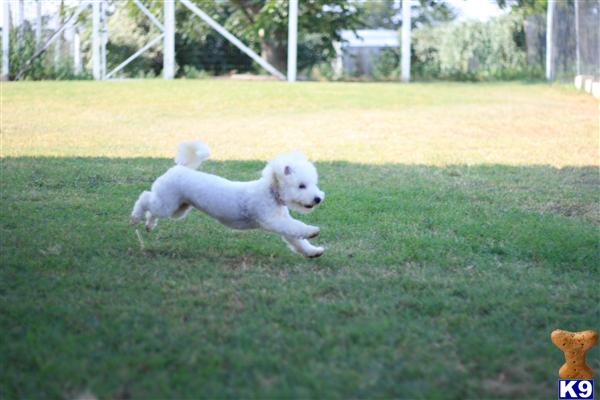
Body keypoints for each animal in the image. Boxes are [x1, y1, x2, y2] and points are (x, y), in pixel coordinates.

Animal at [131, 141, 326, 258]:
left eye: (313, 184)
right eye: (301, 186)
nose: (318, 199)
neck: (271, 193)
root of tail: (178, 168)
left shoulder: (282, 222)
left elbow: (297, 239)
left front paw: (313, 251)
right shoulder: (271, 220)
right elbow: (297, 227)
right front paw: (312, 231)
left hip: (178, 208)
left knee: (152, 209)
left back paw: (148, 225)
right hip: (167, 204)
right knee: (144, 198)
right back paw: (135, 217)